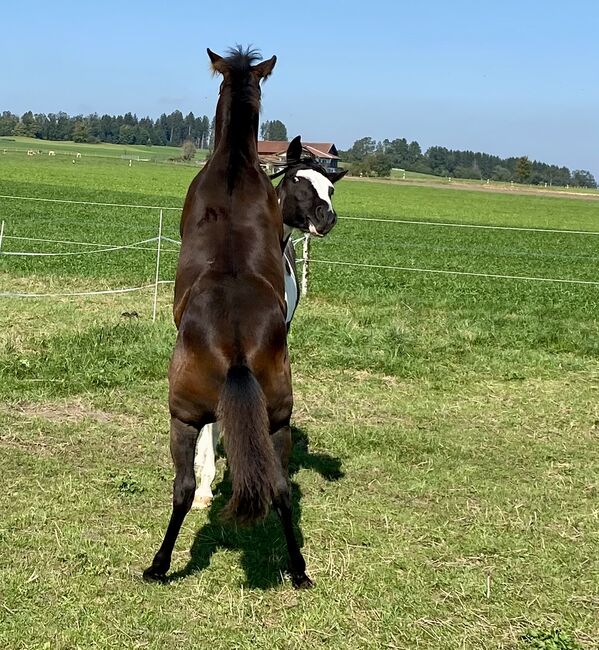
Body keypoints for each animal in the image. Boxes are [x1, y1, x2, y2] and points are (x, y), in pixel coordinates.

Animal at [144, 48, 310, 588]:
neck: (235, 164)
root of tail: (236, 348)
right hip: (277, 419)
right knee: (280, 489)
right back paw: (299, 569)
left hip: (181, 415)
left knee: (181, 487)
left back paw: (159, 564)